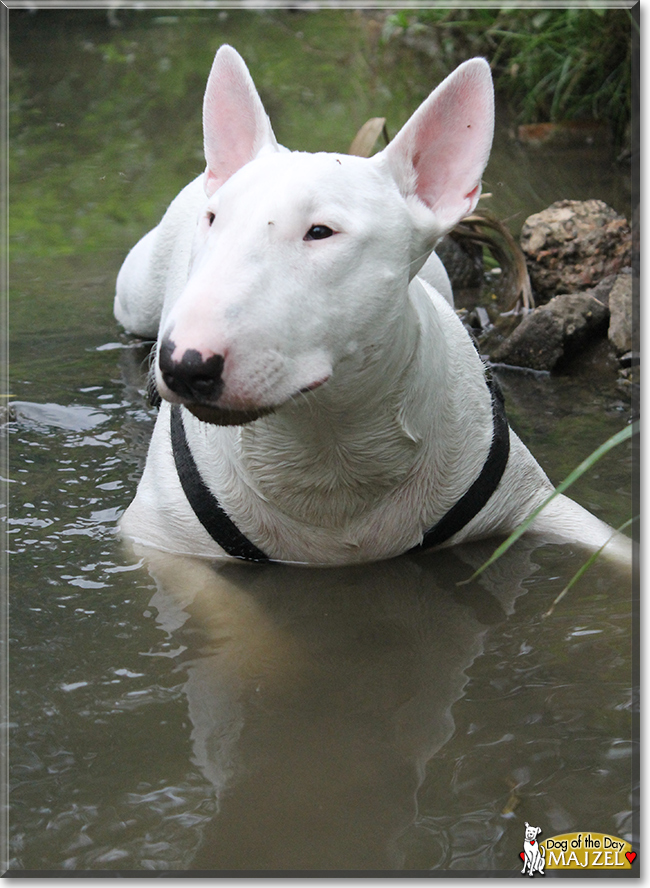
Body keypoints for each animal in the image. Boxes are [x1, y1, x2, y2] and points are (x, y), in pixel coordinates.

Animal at [114, 45, 632, 564]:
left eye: (320, 231)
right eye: (213, 219)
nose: (185, 364)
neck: (329, 445)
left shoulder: (534, 499)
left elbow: (614, 542)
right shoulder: (158, 538)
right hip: (136, 297)